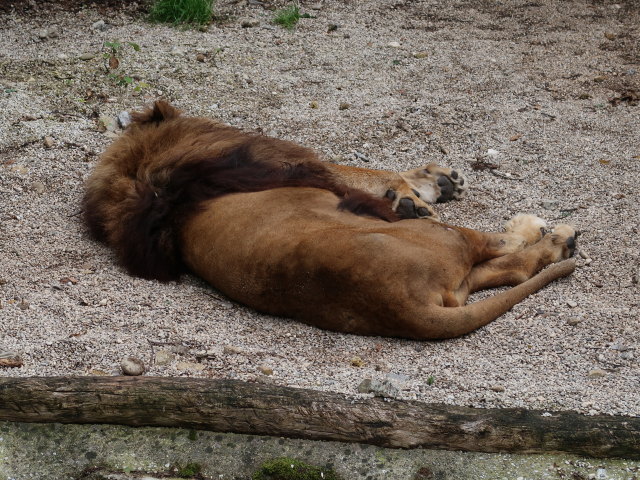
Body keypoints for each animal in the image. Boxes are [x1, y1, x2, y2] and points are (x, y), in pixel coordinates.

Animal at [83, 101, 576, 339]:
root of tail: (402, 307)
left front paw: (431, 183)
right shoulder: (315, 174)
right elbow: (363, 172)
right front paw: (420, 188)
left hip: (456, 284)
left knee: (510, 269)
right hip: (441, 238)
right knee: (505, 250)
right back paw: (552, 235)